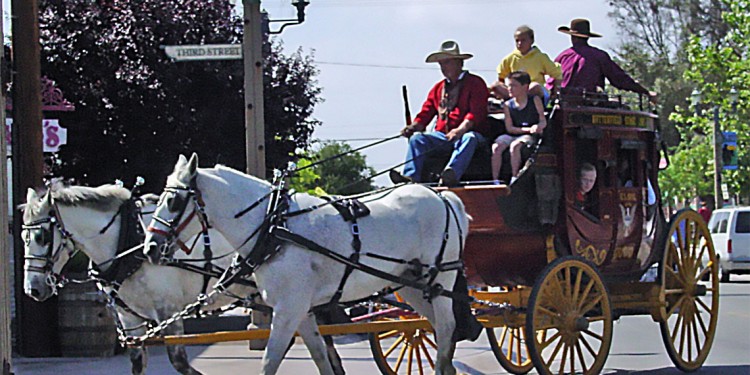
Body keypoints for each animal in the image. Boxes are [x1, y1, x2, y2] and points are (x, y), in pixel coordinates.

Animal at [20, 184, 253, 375]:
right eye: (24, 237)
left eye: (43, 237)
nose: (33, 289)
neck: (128, 242)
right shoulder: (129, 319)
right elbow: (137, 363)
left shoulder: (169, 310)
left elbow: (179, 362)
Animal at [145, 154, 476, 375]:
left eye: (173, 202)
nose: (150, 248)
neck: (273, 226)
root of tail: (445, 197)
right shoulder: (301, 312)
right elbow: (321, 357)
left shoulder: (288, 309)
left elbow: (269, 362)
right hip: (411, 285)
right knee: (434, 329)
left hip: (439, 281)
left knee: (446, 328)